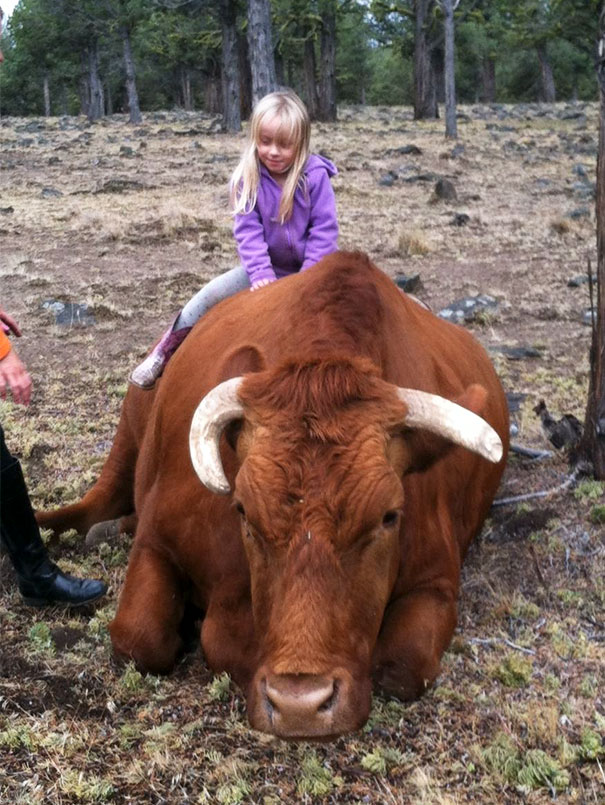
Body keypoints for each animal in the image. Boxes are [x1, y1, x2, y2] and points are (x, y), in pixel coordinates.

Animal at [38, 251, 509, 740]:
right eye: (243, 511)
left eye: (389, 516)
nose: (300, 705)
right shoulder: (159, 538)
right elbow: (140, 637)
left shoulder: (436, 580)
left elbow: (402, 664)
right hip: (130, 431)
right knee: (94, 505)